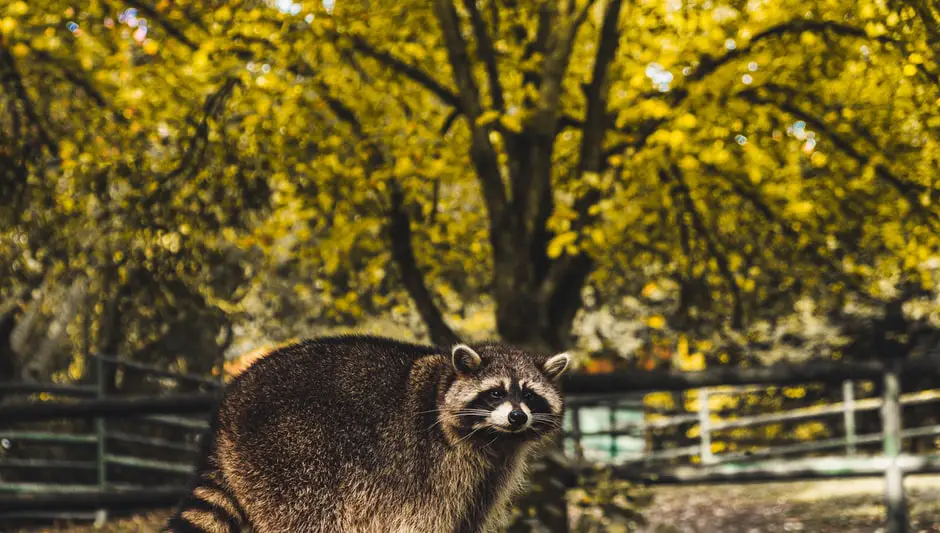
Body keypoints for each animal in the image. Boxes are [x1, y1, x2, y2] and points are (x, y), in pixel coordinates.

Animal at [164, 334, 568, 528]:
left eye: (529, 395)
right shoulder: (431, 471)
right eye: (496, 392)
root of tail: (227, 406)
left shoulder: (486, 479)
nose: (516, 417)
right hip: (290, 458)